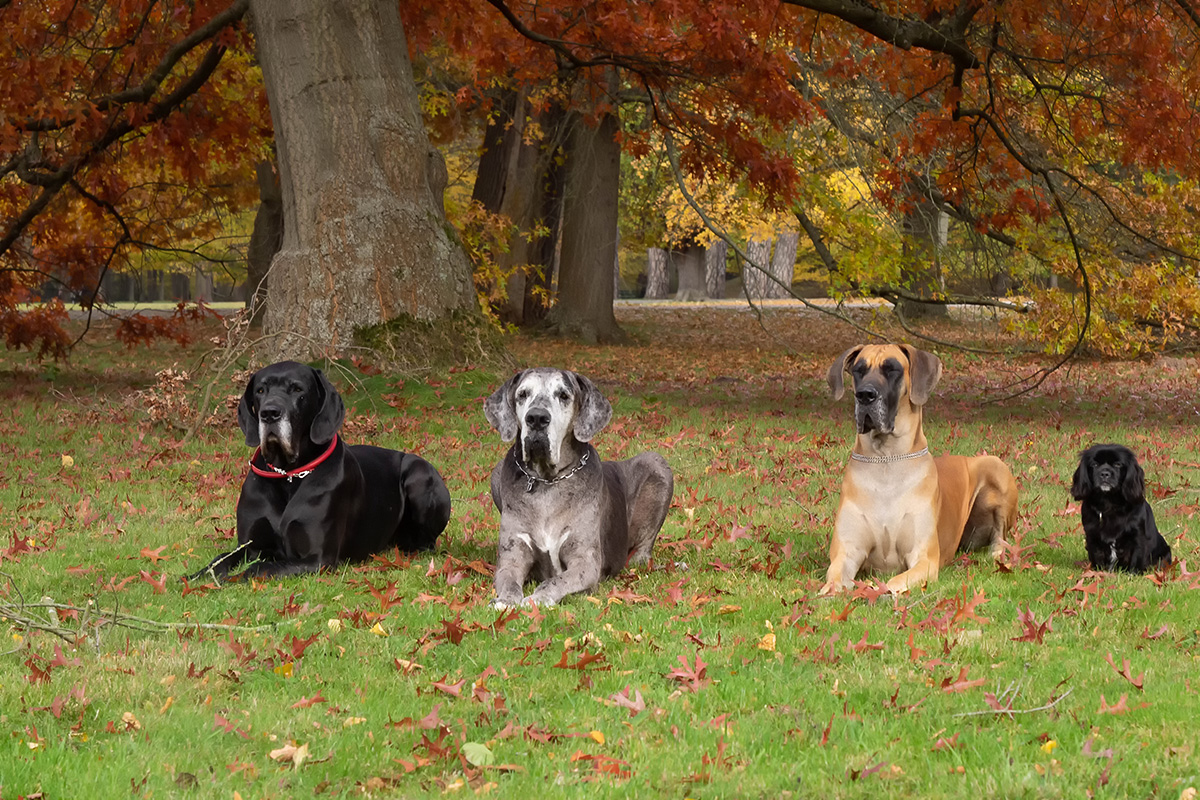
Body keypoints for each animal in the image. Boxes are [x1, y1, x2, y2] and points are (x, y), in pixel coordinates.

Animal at [192, 362, 453, 582]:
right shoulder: (250, 546)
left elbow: (259, 568)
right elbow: (219, 561)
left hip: (419, 473)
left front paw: (234, 577)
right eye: (260, 390)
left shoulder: (317, 558)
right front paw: (197, 575)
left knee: (426, 542)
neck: (288, 474)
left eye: (297, 389)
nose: (269, 413)